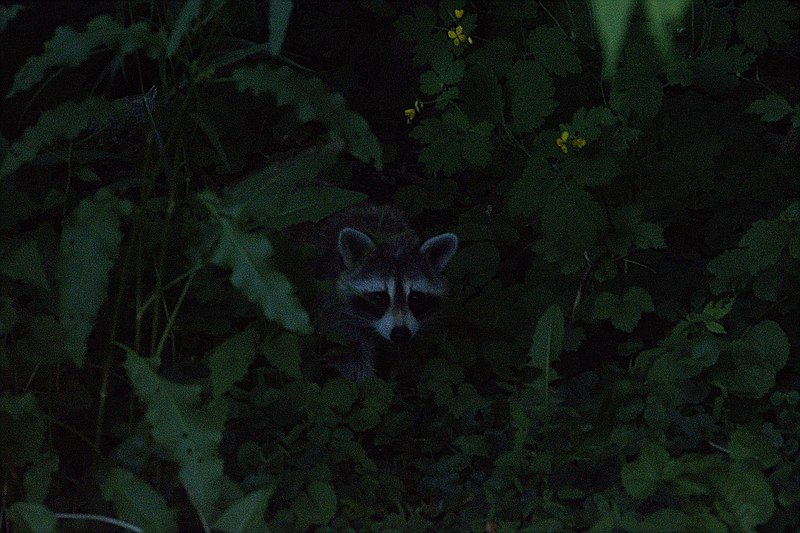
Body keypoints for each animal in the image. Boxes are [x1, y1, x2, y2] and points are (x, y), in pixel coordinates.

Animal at [304, 203, 456, 378]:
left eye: (415, 297)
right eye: (379, 297)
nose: (400, 334)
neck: (393, 242)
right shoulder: (334, 310)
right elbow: (350, 358)